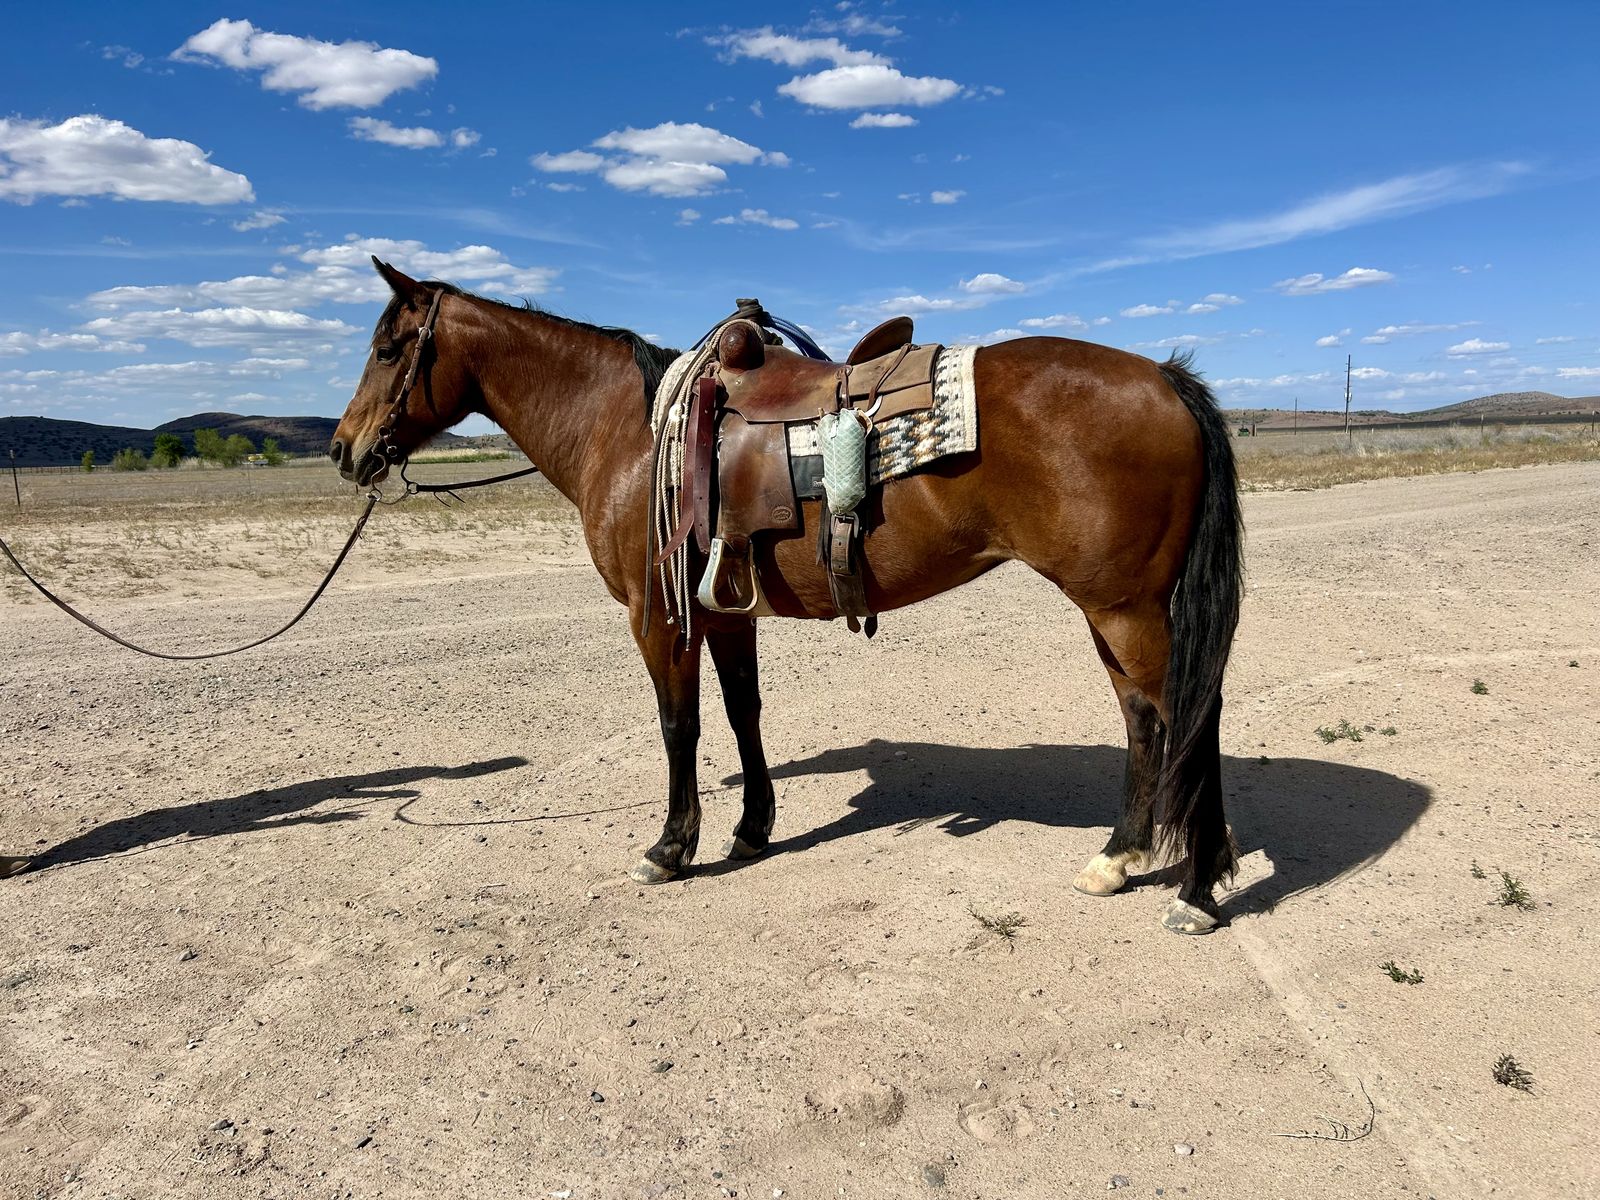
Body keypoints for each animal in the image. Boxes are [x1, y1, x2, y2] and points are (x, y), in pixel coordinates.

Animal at [331, 258, 1244, 934]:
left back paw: (1197, 890)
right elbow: (744, 714)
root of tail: (1164, 378)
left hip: (1125, 611)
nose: (344, 449)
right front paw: (750, 829)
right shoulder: (724, 609)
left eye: (389, 349)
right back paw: (1122, 858)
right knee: (1147, 721)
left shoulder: (659, 616)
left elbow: (680, 725)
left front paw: (671, 847)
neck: (628, 431)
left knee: (1188, 719)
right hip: (1110, 611)